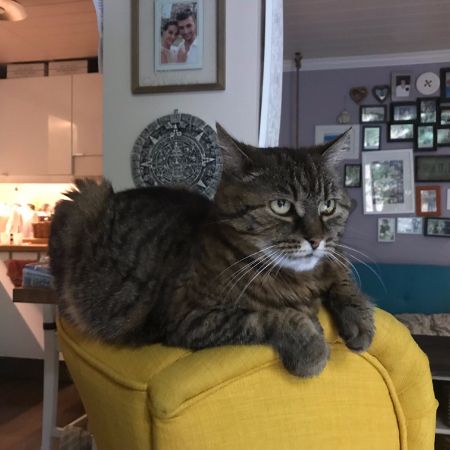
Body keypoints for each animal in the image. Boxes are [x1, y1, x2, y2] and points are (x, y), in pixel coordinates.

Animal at [49, 124, 374, 378]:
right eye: (281, 206)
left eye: (328, 206)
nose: (316, 239)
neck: (298, 280)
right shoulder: (191, 318)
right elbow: (271, 315)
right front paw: (311, 347)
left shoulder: (332, 260)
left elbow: (342, 277)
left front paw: (360, 320)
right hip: (82, 199)